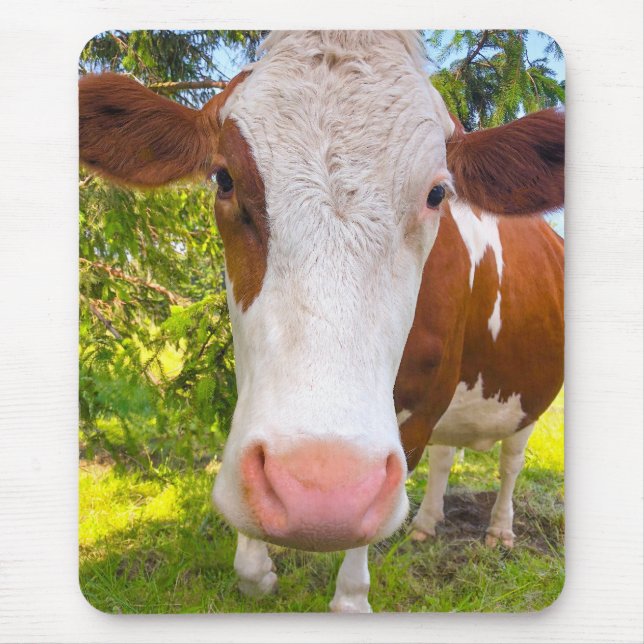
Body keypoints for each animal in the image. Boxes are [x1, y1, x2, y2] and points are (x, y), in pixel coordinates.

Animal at [79, 30, 564, 613]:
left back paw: (499, 530)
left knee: (511, 460)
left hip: (527, 397)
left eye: (437, 193)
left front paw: (351, 596)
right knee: (449, 454)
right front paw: (258, 571)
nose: (320, 493)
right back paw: (425, 524)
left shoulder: (422, 408)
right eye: (224, 178)